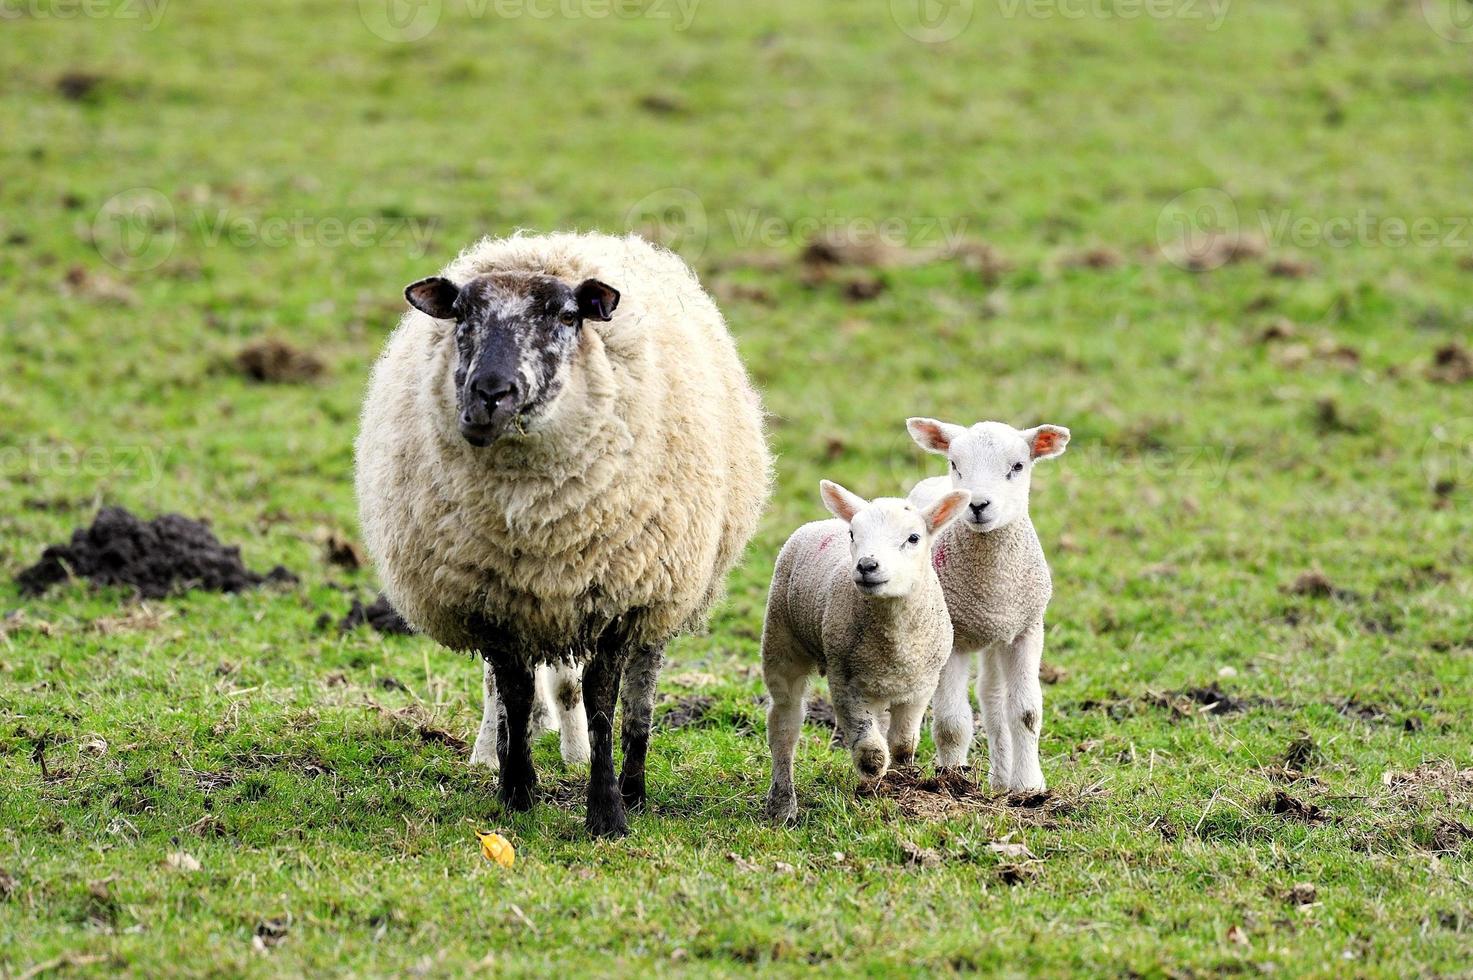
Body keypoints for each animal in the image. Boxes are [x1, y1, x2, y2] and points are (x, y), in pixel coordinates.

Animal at [356, 232, 771, 837]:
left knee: (636, 696)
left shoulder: (620, 600)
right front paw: (517, 792)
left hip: (660, 592)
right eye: (462, 315)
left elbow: (601, 702)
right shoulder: (496, 601)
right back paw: (494, 751)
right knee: (513, 692)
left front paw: (607, 811)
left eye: (567, 316)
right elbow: (514, 691)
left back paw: (633, 785)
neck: (537, 524)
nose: (490, 393)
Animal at [760, 477, 978, 819]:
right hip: (781, 637)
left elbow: (903, 743)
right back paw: (782, 804)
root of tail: (821, 522)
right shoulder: (843, 679)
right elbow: (871, 750)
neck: (894, 641)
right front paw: (874, 780)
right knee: (784, 722)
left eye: (913, 538)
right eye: (853, 534)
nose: (866, 565)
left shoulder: (921, 685)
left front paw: (902, 783)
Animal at [895, 415, 1072, 789]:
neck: (993, 587)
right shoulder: (953, 641)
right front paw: (952, 780)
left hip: (997, 637)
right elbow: (951, 722)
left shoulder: (1027, 631)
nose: (977, 505)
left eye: (1018, 466)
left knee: (993, 699)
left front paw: (1029, 787)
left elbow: (1026, 713)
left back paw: (1002, 779)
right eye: (954, 464)